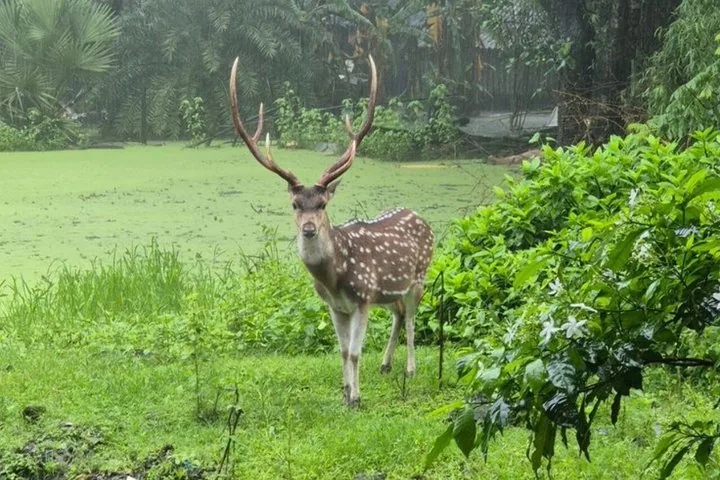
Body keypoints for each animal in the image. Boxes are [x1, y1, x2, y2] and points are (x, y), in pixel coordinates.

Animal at [229, 55, 434, 408]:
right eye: (295, 204)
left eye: (322, 204)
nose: (309, 229)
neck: (334, 277)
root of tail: (421, 217)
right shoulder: (336, 306)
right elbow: (341, 351)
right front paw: (345, 395)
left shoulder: (362, 298)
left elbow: (354, 352)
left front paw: (356, 398)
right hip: (388, 291)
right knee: (398, 313)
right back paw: (385, 364)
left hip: (418, 275)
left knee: (410, 318)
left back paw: (409, 368)